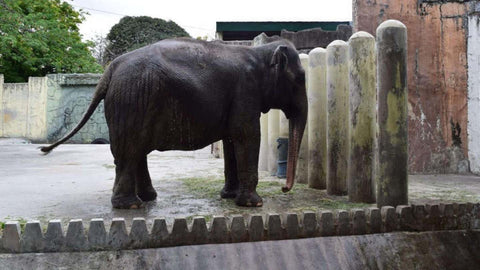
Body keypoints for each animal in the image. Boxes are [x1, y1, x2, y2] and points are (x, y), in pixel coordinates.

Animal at [43, 37, 310, 209]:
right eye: (300, 78)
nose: (285, 189)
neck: (261, 52)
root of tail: (110, 69)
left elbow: (231, 140)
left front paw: (228, 197)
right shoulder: (246, 92)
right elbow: (247, 135)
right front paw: (254, 204)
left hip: (133, 101)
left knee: (135, 149)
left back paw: (147, 198)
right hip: (133, 98)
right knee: (130, 150)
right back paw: (131, 206)